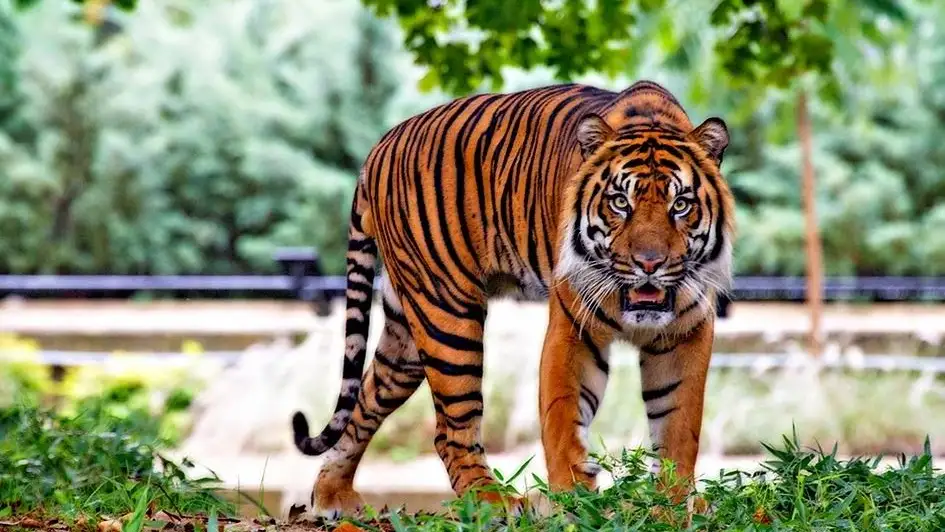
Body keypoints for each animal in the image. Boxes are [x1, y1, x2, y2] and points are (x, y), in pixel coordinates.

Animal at [291, 79, 734, 518]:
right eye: (620, 202)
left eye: (681, 205)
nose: (649, 263)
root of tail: (380, 145)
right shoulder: (573, 329)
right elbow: (563, 418)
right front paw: (575, 503)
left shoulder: (686, 333)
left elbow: (679, 427)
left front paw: (672, 505)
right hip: (447, 315)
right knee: (450, 429)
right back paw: (493, 501)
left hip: (406, 337)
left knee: (365, 401)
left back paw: (332, 495)